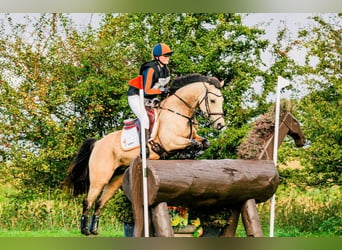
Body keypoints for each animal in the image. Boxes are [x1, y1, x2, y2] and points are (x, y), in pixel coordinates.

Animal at [63, 73, 226, 235]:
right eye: (212, 100)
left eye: (222, 100)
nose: (220, 125)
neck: (179, 112)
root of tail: (98, 143)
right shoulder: (171, 142)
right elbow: (194, 143)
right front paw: (187, 153)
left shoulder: (189, 138)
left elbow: (204, 142)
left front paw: (189, 154)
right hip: (100, 178)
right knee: (89, 200)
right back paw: (84, 230)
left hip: (116, 178)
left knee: (99, 202)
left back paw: (94, 230)